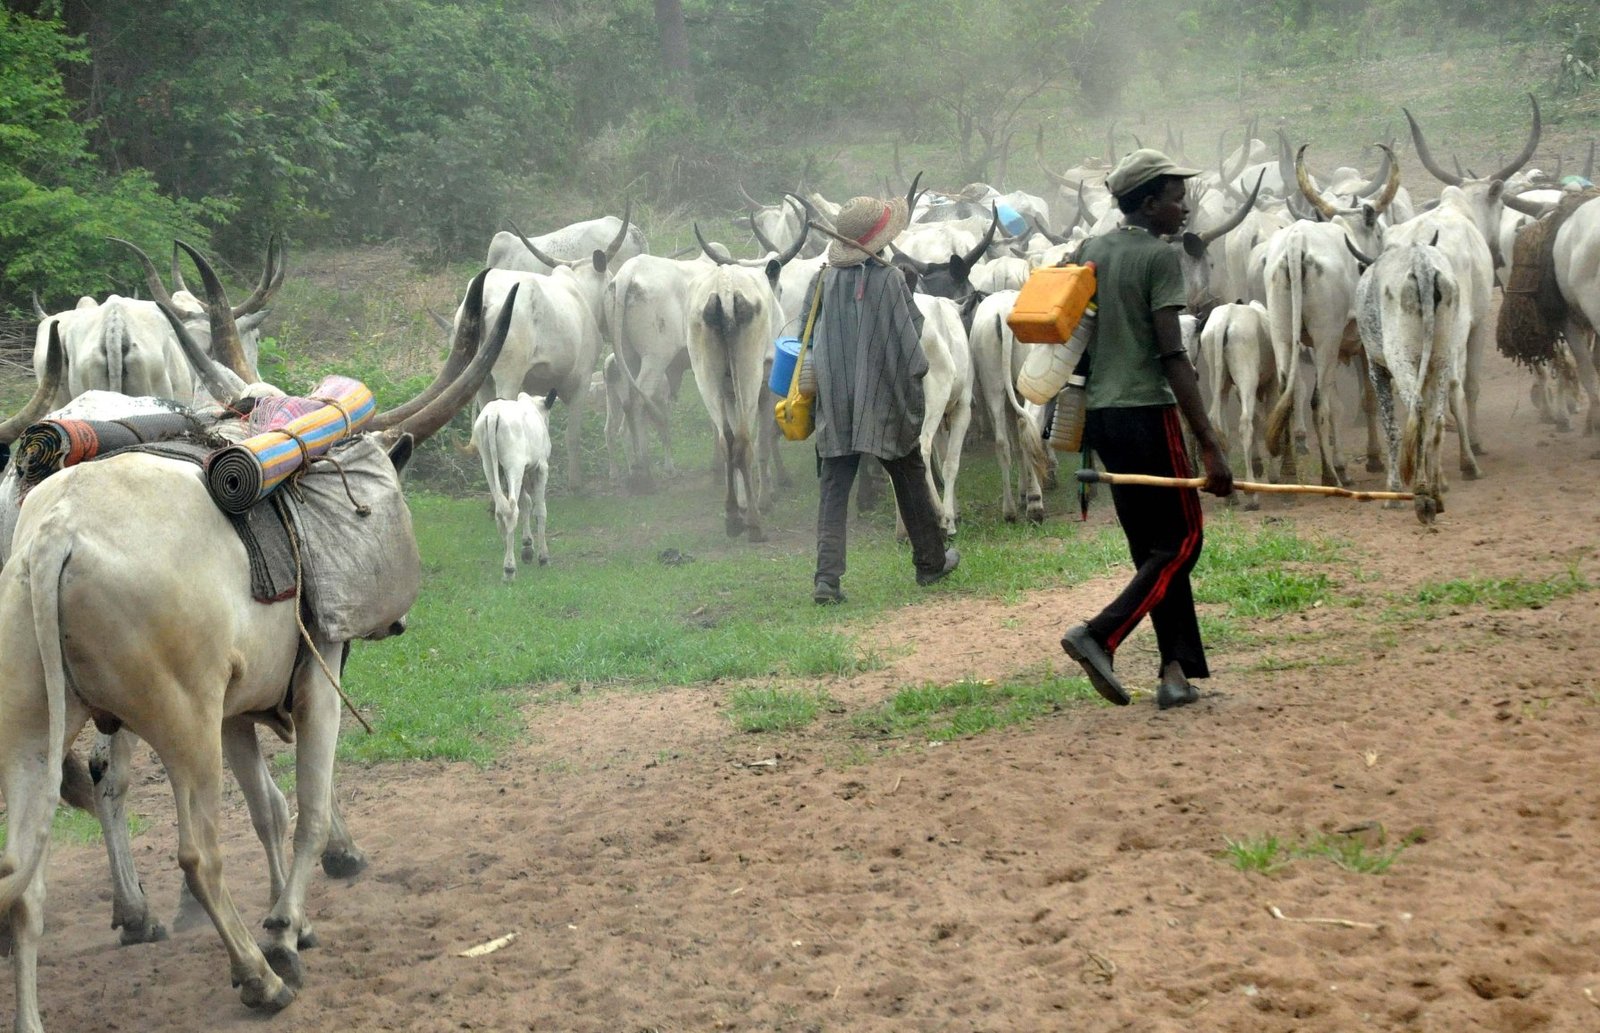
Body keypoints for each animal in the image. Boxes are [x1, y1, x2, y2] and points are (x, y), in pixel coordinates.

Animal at [470, 393, 553, 578]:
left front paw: (527, 547)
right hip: (514, 466)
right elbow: (540, 510)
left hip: (490, 465)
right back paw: (509, 568)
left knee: (501, 510)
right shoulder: (541, 468)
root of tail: (493, 413)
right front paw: (543, 557)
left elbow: (526, 503)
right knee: (511, 510)